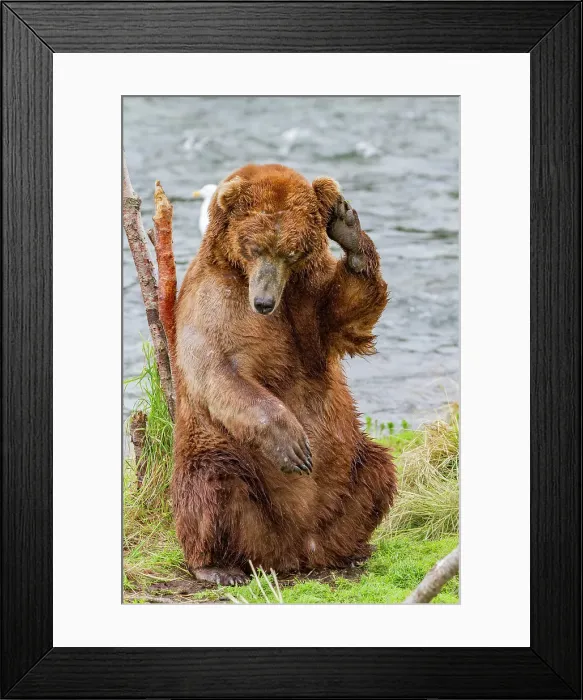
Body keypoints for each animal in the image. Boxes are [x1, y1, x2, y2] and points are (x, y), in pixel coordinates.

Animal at [172, 163, 397, 585]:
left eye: (291, 251)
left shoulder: (306, 300)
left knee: (379, 469)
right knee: (211, 485)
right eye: (255, 247)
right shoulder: (212, 303)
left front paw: (347, 227)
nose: (263, 302)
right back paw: (217, 566)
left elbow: (348, 312)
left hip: (348, 467)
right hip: (228, 462)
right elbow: (218, 372)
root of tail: (297, 552)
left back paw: (354, 550)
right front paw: (293, 444)